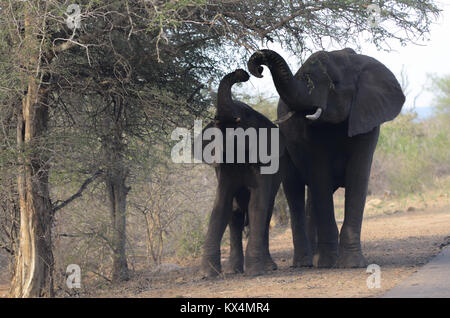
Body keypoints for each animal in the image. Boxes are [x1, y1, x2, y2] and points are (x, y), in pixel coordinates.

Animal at [199, 69, 312, 276]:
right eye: (215, 123)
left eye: (242, 117)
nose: (242, 73)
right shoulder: (223, 167)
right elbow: (221, 205)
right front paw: (207, 275)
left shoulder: (264, 162)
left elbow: (256, 204)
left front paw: (254, 272)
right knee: (235, 213)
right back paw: (233, 271)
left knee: (265, 213)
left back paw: (267, 267)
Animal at [248, 48, 406, 268]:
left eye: (334, 83)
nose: (259, 68)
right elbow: (320, 174)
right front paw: (331, 263)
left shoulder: (367, 117)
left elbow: (357, 176)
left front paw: (352, 264)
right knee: (295, 190)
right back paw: (305, 263)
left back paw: (315, 259)